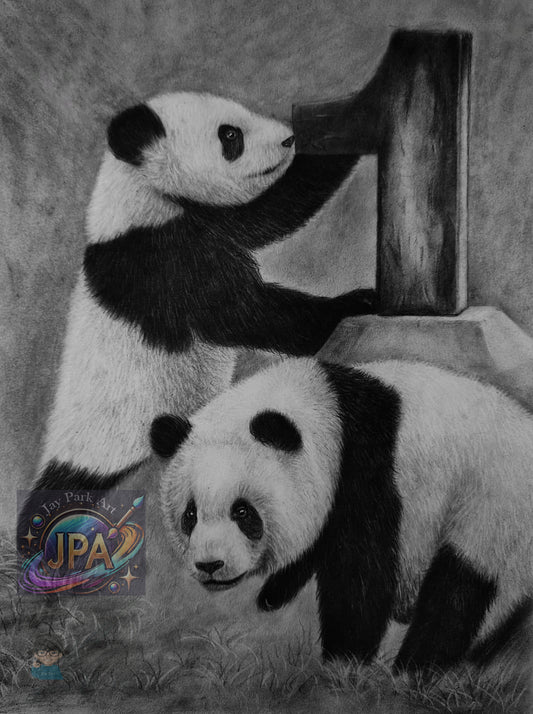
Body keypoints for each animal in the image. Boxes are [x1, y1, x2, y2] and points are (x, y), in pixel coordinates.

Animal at [36, 91, 376, 491]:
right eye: (229, 135)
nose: (288, 140)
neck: (145, 195)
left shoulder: (208, 221)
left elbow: (274, 211)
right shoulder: (159, 262)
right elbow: (243, 314)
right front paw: (355, 302)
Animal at [151, 357, 533, 671]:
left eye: (243, 512)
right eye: (190, 515)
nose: (210, 565)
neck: (327, 405)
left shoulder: (368, 473)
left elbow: (360, 575)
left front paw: (343, 665)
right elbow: (316, 542)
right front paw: (275, 593)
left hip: (491, 507)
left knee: (460, 588)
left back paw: (414, 670)